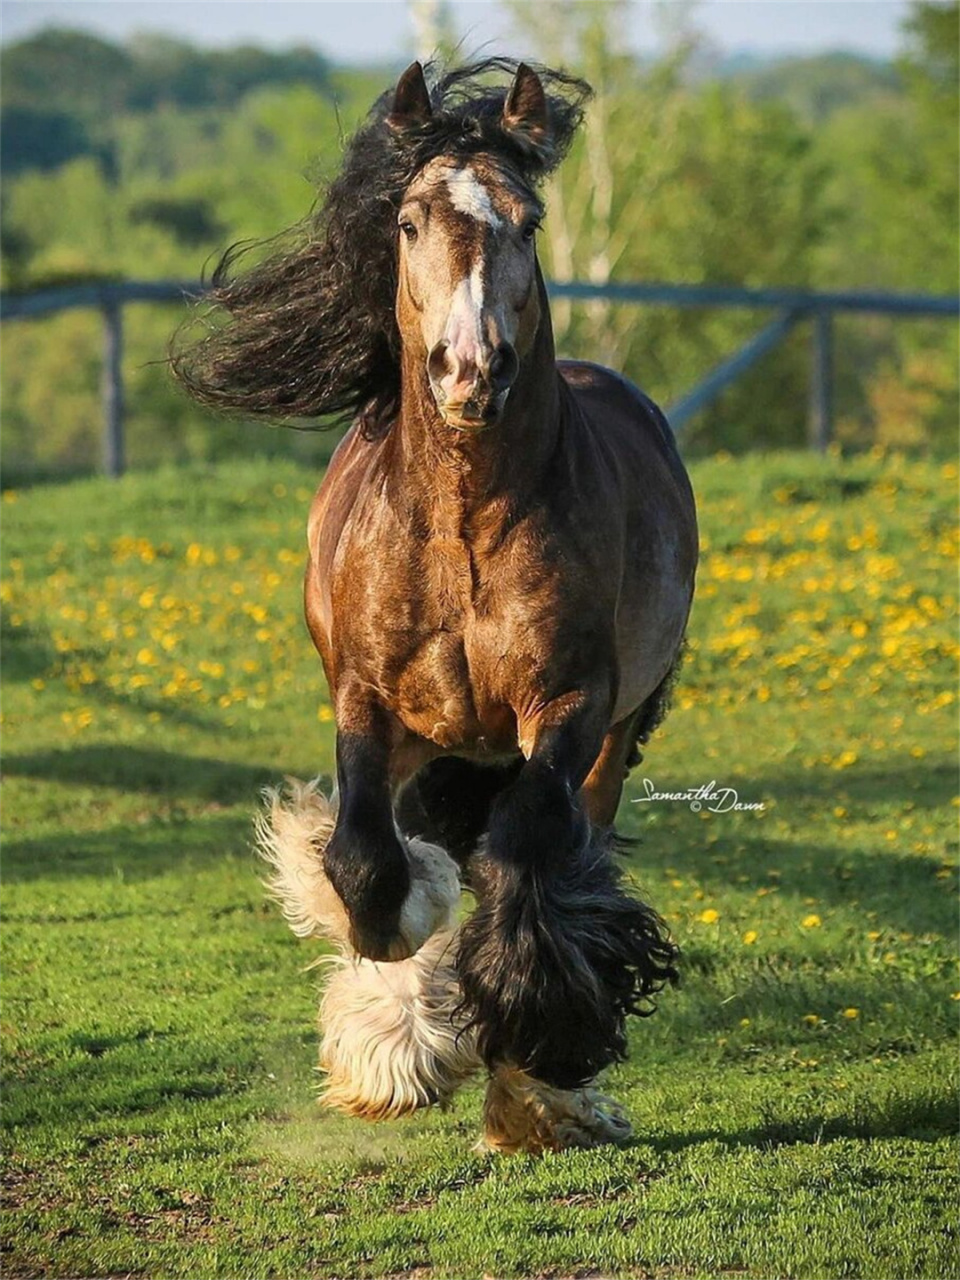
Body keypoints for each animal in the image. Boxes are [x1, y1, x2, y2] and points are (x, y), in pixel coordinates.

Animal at [175, 60, 701, 1157]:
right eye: (411, 219)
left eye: (529, 220)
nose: (470, 368)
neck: (462, 521)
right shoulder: (369, 704)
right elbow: (367, 866)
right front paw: (397, 1028)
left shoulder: (568, 707)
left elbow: (525, 858)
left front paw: (532, 1070)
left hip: (607, 737)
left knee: (559, 846)